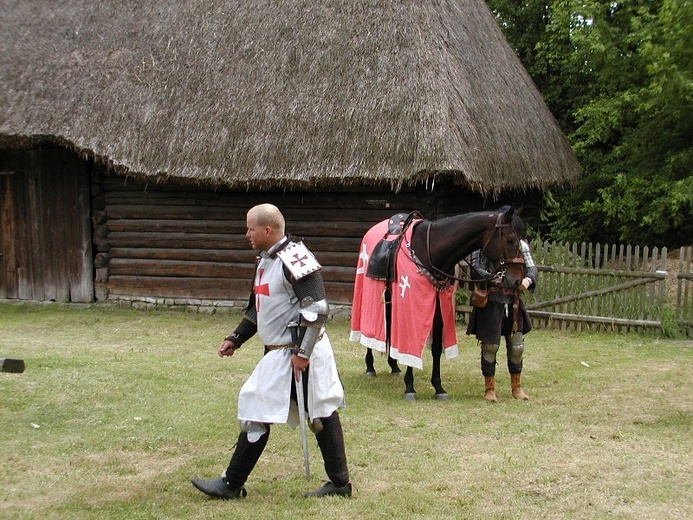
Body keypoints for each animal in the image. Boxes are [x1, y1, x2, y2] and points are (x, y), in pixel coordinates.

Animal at [356, 205, 524, 400]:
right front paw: (410, 387)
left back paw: (394, 364)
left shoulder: (438, 307)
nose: (517, 280)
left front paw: (438, 387)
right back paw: (370, 366)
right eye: (510, 240)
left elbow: (436, 347)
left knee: (390, 326)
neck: (432, 251)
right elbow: (412, 343)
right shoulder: (413, 303)